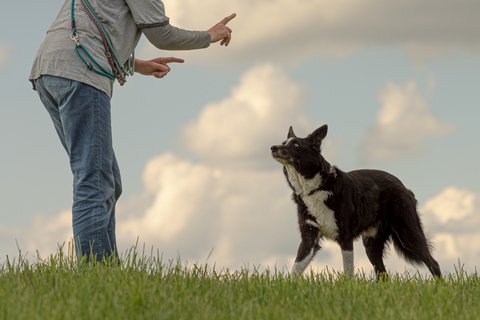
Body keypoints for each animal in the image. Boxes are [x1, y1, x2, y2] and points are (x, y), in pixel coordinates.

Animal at [270, 124, 442, 278]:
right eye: (284, 142)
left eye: (296, 144)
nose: (273, 147)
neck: (315, 188)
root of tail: (404, 187)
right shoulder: (309, 238)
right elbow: (296, 268)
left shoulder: (345, 237)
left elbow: (348, 271)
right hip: (371, 244)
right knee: (383, 274)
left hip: (408, 233)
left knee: (433, 263)